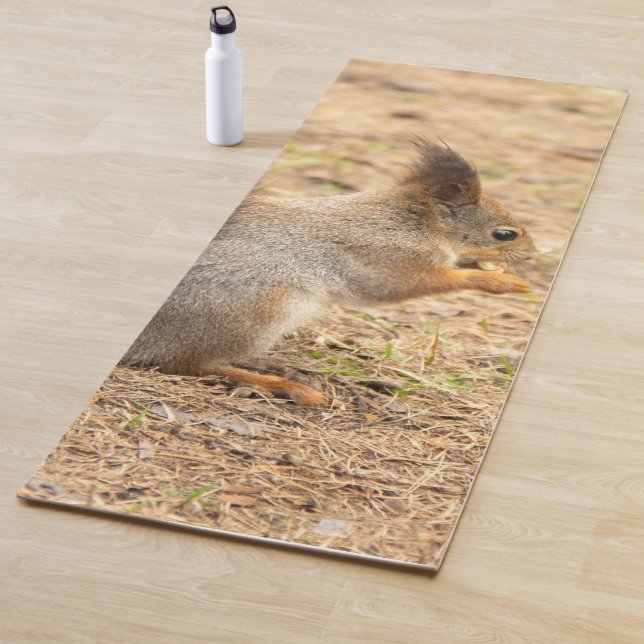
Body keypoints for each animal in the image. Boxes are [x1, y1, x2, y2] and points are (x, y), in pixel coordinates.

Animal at [120, 139, 536, 406]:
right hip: (252, 309)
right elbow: (409, 284)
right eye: (504, 234)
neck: (418, 223)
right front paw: (498, 281)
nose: (534, 254)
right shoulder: (385, 257)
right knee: (188, 363)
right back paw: (280, 384)